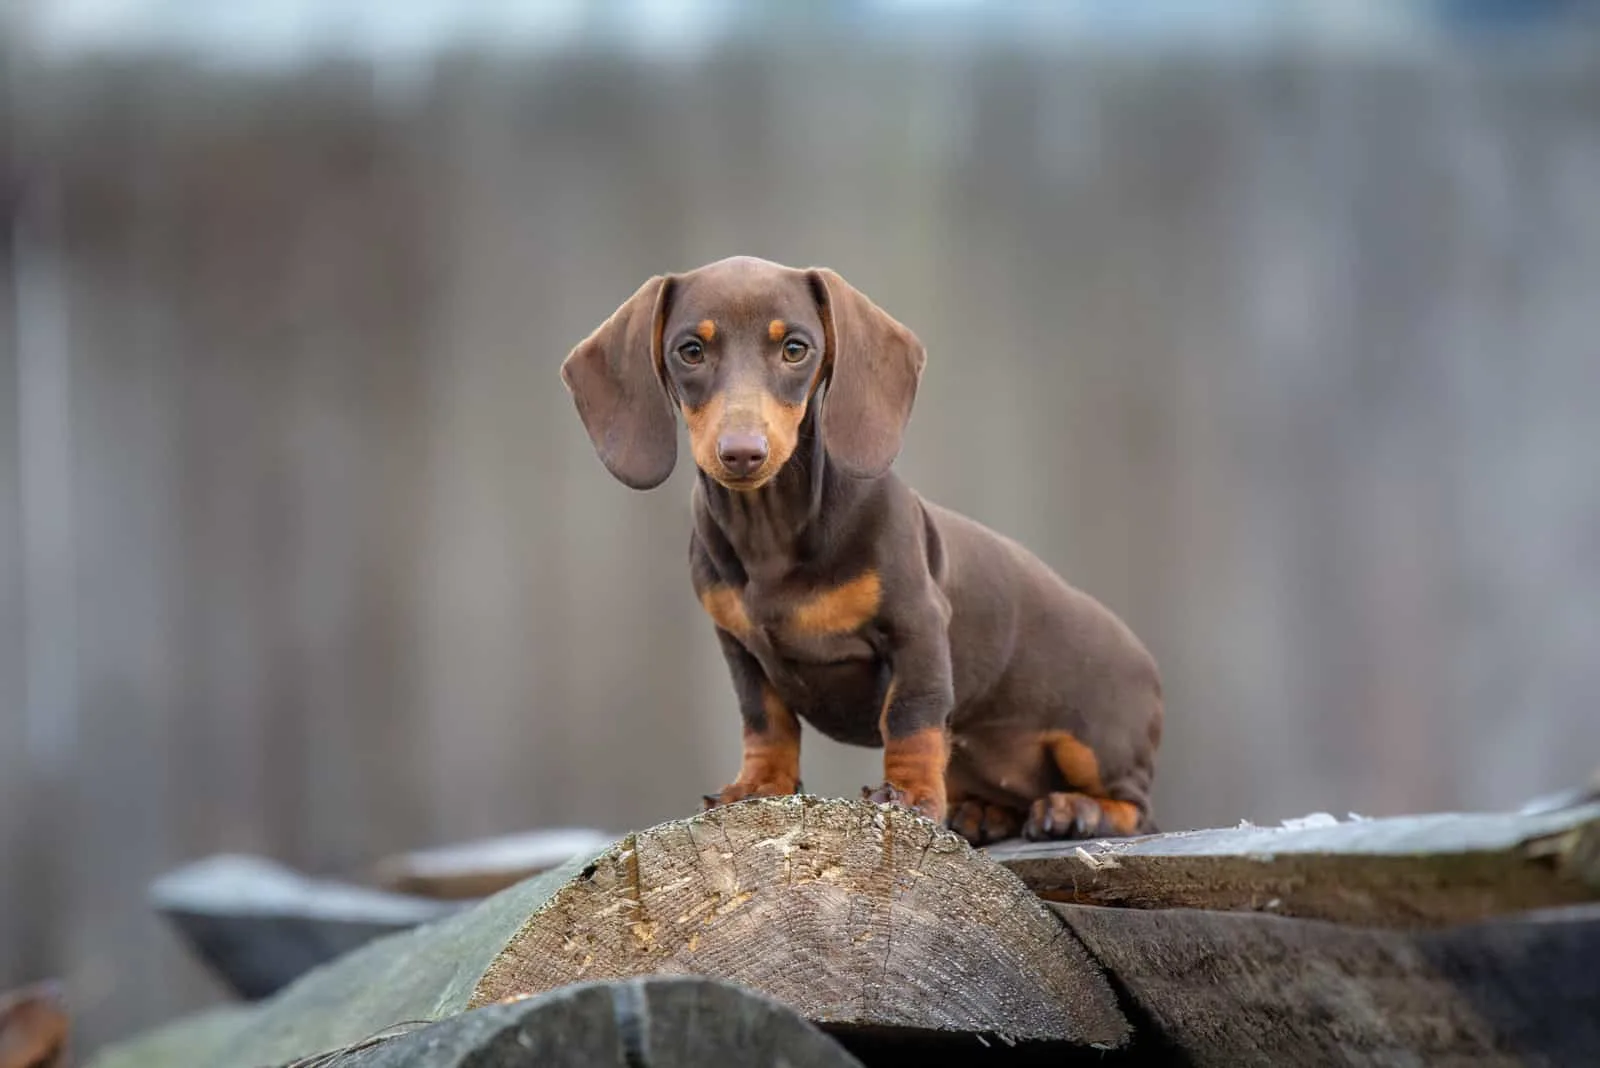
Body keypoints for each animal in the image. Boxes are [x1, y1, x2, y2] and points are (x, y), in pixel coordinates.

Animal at [563, 259, 1164, 844]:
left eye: (795, 348)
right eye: (690, 350)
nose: (742, 453)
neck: (770, 530)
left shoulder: (917, 625)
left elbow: (912, 717)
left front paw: (910, 795)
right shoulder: (738, 647)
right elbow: (765, 720)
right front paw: (758, 785)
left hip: (1095, 742)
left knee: (1136, 806)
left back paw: (1077, 809)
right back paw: (984, 813)